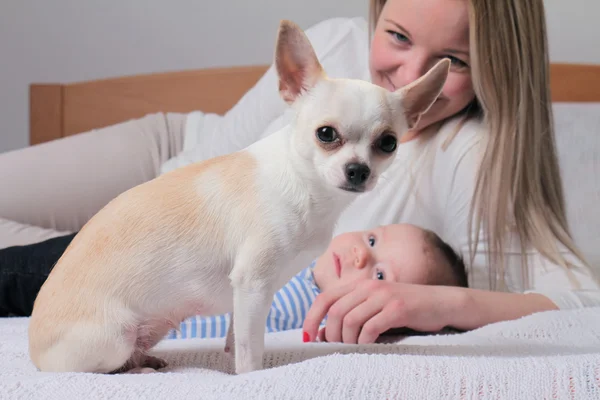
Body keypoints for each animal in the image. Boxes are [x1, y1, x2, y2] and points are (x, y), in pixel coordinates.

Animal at [28, 20, 450, 374]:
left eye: (389, 143)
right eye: (326, 134)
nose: (358, 170)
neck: (308, 190)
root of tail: (33, 352)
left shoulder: (248, 293)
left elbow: (236, 337)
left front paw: (231, 353)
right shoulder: (253, 284)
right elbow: (251, 351)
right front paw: (251, 376)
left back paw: (144, 359)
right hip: (113, 336)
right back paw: (135, 369)